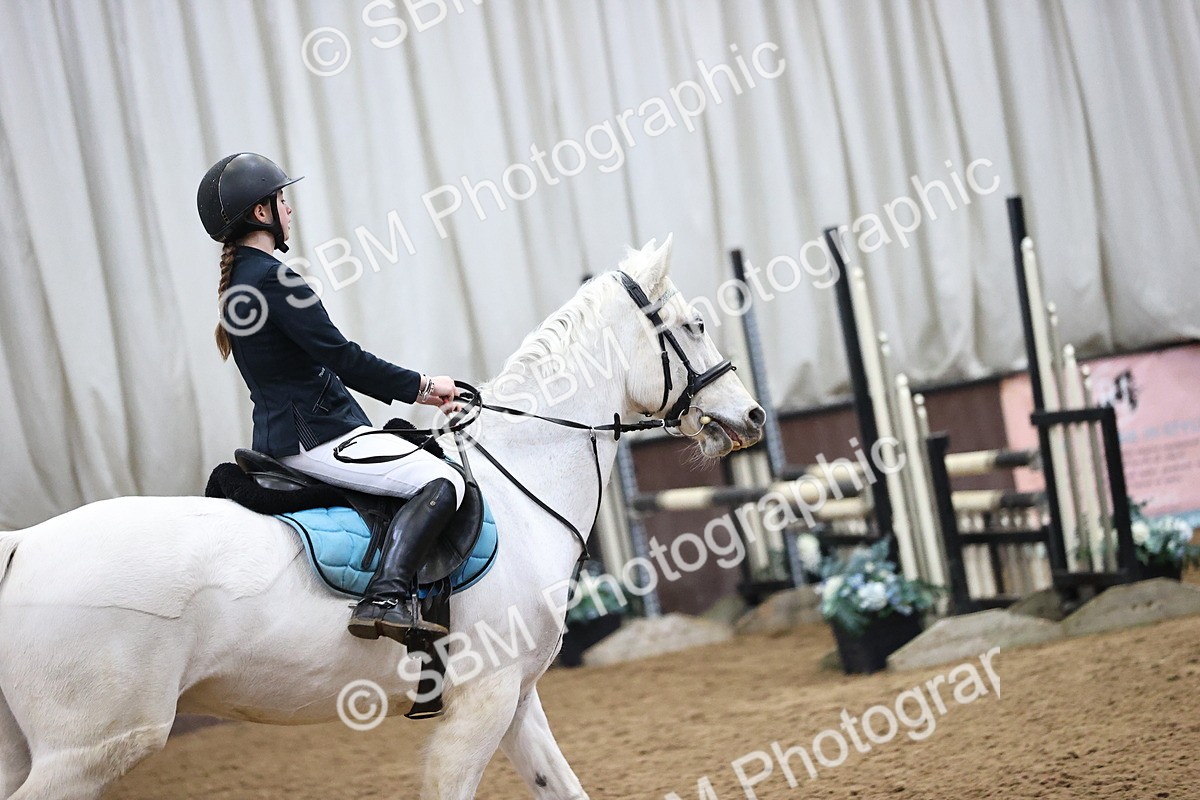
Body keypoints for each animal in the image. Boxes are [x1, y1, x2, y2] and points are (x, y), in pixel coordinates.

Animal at [0, 236, 764, 799]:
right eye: (694, 325)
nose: (753, 416)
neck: (524, 487)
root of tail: (24, 546)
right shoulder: (482, 702)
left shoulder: (515, 697)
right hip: (92, 749)